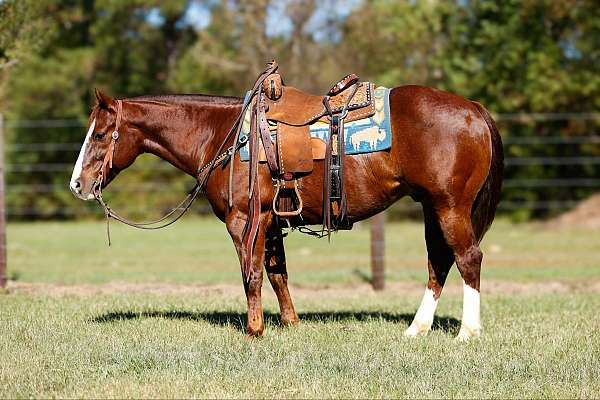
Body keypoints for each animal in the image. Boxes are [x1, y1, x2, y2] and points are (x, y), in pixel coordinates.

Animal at [69, 82, 502, 340]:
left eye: (101, 134)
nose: (77, 184)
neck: (224, 135)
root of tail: (474, 109)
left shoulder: (246, 220)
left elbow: (252, 274)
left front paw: (254, 329)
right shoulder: (273, 220)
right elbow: (278, 273)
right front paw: (289, 323)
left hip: (450, 207)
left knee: (468, 258)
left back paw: (467, 332)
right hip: (432, 207)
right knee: (438, 263)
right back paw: (417, 329)